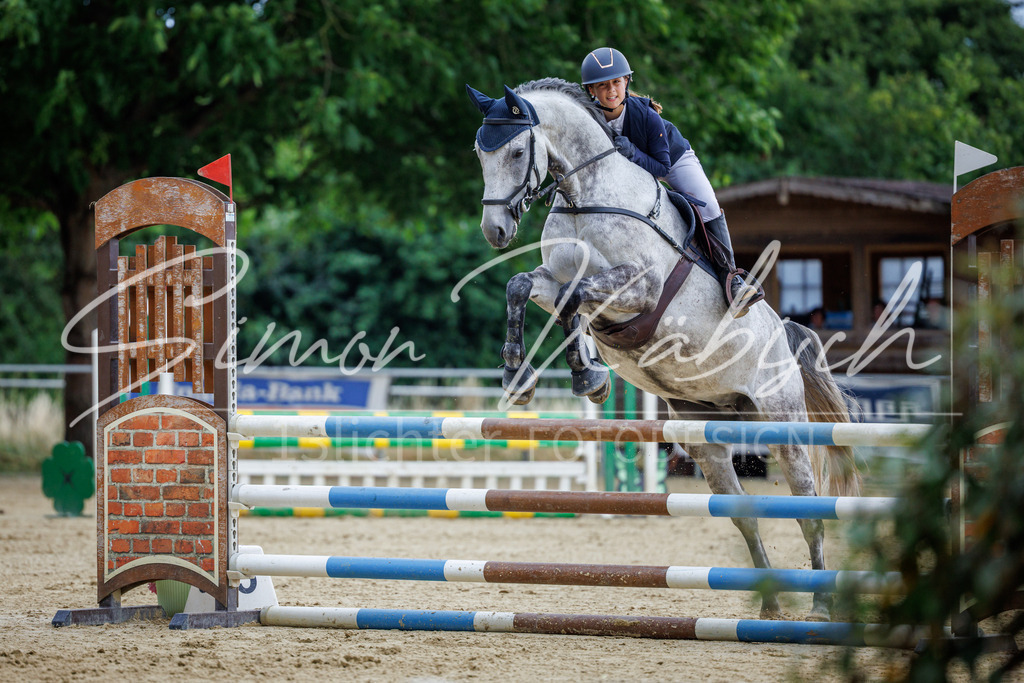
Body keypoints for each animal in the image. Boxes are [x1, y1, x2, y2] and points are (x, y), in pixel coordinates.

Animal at [466, 78, 860, 622]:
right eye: (479, 154)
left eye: (519, 151)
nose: (496, 232)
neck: (585, 197)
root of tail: (783, 334)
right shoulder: (553, 279)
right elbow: (524, 287)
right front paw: (520, 376)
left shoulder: (640, 287)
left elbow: (574, 299)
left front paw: (588, 375)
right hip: (705, 434)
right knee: (743, 515)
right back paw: (768, 606)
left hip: (783, 422)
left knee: (810, 511)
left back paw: (820, 607)